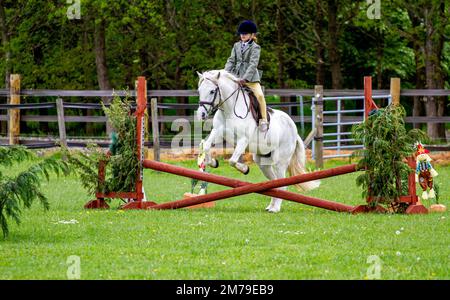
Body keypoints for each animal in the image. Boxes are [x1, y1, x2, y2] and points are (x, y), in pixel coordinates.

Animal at [197, 69, 320, 212]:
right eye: (199, 90)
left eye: (212, 91)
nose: (201, 114)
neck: (229, 110)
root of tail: (294, 130)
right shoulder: (217, 132)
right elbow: (206, 146)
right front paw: (213, 162)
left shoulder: (243, 140)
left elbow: (232, 161)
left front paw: (244, 169)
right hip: (263, 162)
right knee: (274, 183)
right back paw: (271, 206)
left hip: (280, 161)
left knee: (282, 183)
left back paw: (275, 209)